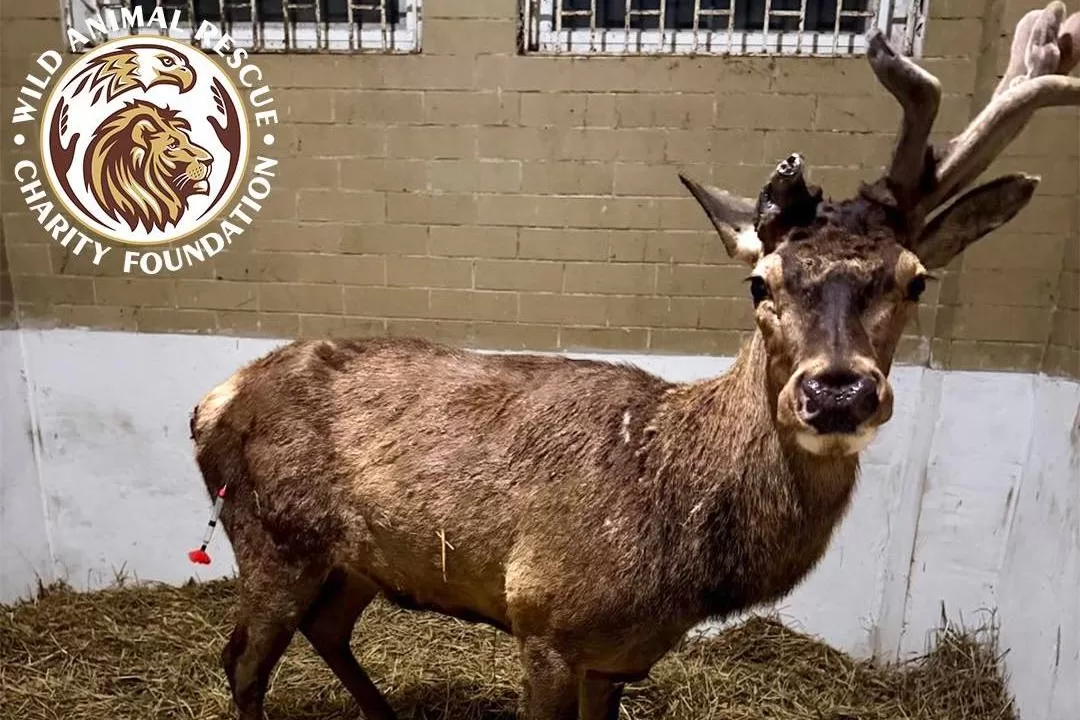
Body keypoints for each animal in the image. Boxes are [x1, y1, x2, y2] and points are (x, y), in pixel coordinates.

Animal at [189, 4, 1080, 719]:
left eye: (915, 278)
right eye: (759, 280)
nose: (837, 392)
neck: (687, 558)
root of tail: (209, 402)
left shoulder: (620, 657)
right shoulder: (543, 618)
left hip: (354, 560)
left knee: (323, 629)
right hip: (274, 539)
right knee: (241, 662)